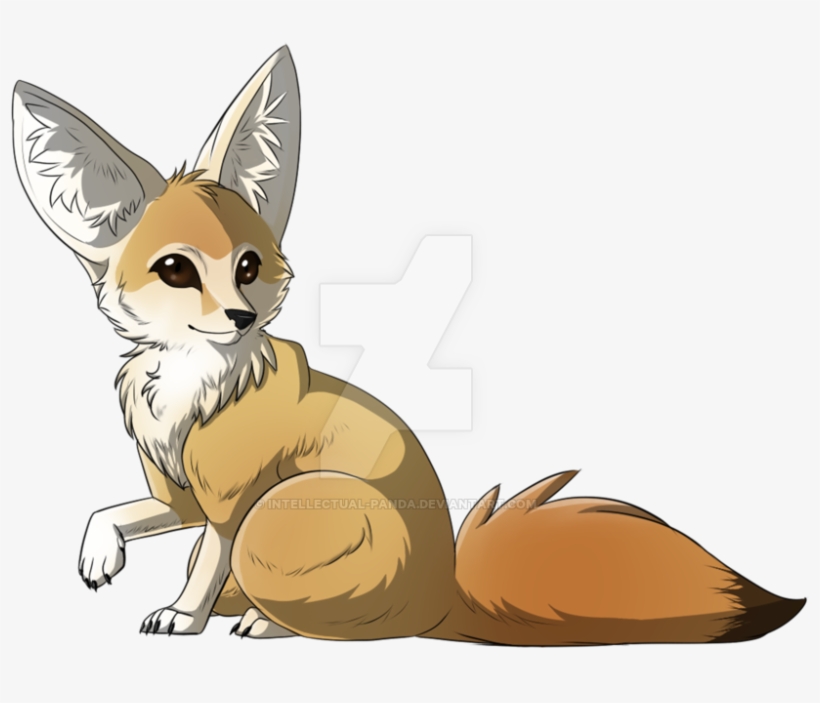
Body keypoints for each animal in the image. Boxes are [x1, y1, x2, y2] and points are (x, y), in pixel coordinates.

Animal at [12, 45, 805, 643]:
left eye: (248, 266)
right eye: (176, 270)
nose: (239, 317)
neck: (189, 385)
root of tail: (442, 594)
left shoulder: (231, 504)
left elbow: (206, 561)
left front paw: (183, 615)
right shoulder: (178, 495)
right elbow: (112, 513)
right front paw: (100, 554)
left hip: (283, 508)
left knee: (331, 622)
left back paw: (265, 625)